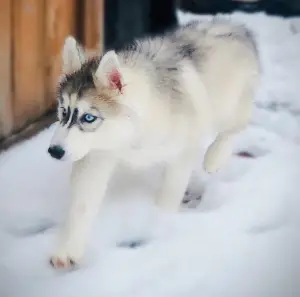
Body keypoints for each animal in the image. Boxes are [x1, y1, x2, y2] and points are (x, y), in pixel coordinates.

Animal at [48, 19, 258, 268]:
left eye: (89, 118)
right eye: (63, 111)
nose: (54, 151)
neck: (130, 136)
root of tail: (235, 25)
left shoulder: (182, 150)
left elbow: (170, 192)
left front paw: (159, 223)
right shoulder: (96, 156)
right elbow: (82, 205)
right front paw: (68, 248)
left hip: (229, 104)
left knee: (234, 127)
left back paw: (214, 157)